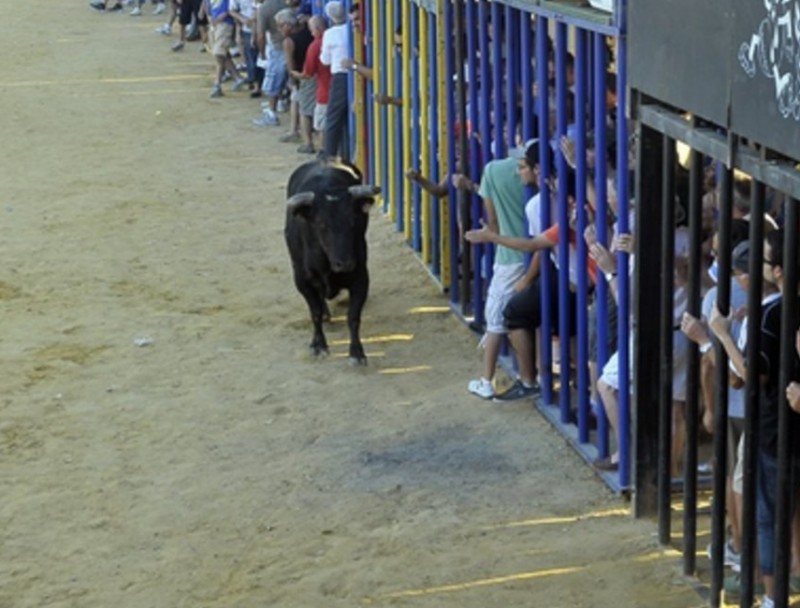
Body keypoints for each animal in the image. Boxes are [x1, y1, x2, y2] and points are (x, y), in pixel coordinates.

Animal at [282, 158, 380, 366]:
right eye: (321, 224)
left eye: (354, 221)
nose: (345, 264)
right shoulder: (302, 281)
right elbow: (315, 313)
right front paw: (319, 345)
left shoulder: (361, 278)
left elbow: (353, 317)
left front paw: (357, 353)